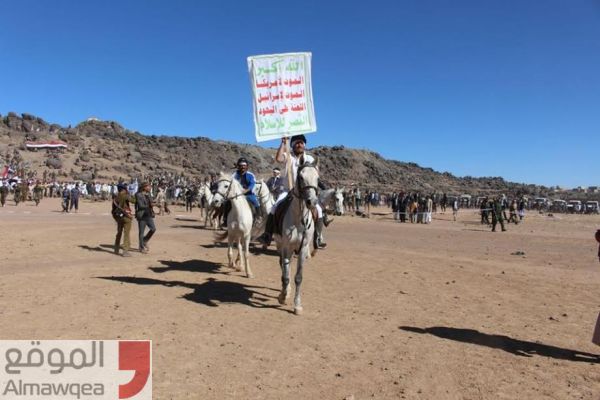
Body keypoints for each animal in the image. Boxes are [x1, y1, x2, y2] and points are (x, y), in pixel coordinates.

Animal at [276, 158, 318, 314]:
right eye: (301, 177)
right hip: (280, 245)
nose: (312, 202)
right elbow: (286, 275)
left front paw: (297, 305)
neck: (299, 219)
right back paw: (285, 291)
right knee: (283, 266)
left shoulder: (303, 248)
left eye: (317, 178)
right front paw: (282, 296)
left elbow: (298, 277)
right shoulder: (286, 246)